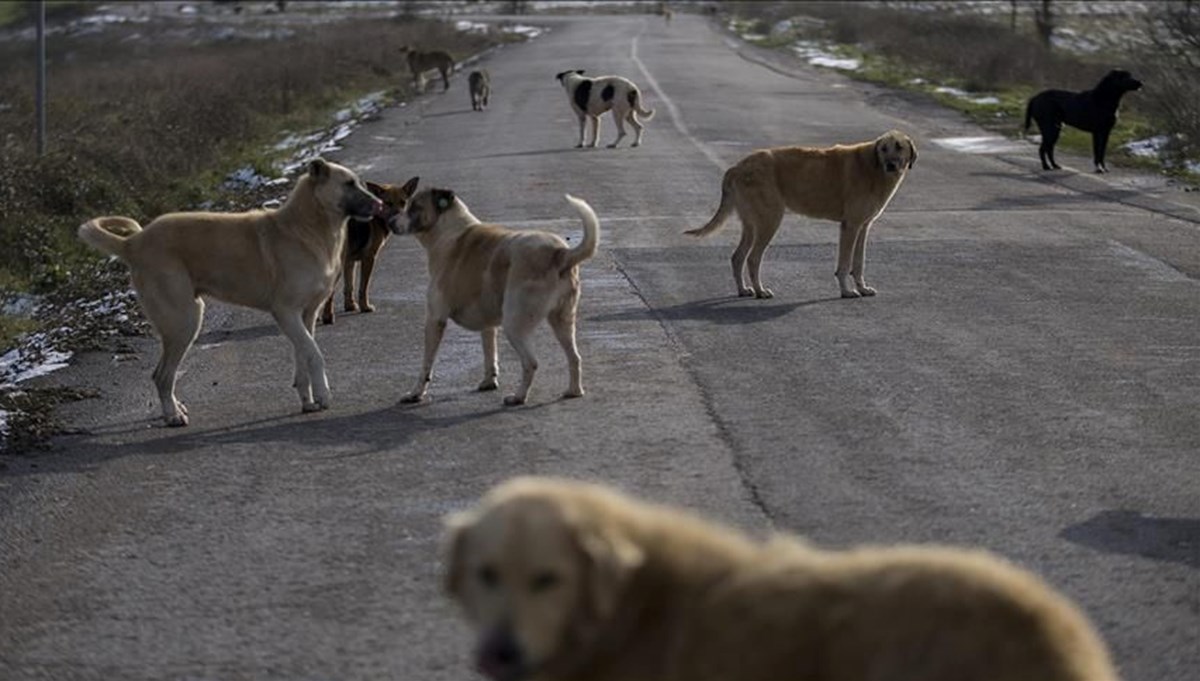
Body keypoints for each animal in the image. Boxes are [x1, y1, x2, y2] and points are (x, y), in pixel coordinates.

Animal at [78, 159, 379, 426]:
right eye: (349, 183)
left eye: (359, 182)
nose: (379, 205)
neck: (307, 226)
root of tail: (132, 243)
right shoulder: (286, 312)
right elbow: (315, 354)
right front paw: (324, 395)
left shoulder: (306, 315)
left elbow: (303, 356)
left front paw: (308, 400)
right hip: (184, 321)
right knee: (162, 375)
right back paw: (173, 416)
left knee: (163, 374)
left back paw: (175, 408)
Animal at [321, 175, 420, 323]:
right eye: (388, 203)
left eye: (403, 202)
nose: (398, 219)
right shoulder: (369, 258)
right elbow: (363, 287)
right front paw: (365, 307)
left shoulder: (350, 262)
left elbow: (349, 286)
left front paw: (350, 306)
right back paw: (327, 317)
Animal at [393, 185, 600, 405]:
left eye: (414, 207)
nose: (390, 222)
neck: (448, 230)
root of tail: (560, 253)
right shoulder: (487, 322)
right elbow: (489, 352)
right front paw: (489, 381)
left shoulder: (435, 319)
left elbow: (426, 364)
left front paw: (416, 393)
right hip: (562, 320)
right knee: (574, 357)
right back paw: (574, 391)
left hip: (514, 324)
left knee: (531, 362)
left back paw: (519, 397)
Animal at [686, 129, 916, 297]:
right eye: (883, 149)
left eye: (899, 147)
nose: (890, 165)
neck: (873, 167)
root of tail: (737, 167)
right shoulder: (850, 226)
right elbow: (844, 264)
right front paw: (847, 291)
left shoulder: (863, 227)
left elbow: (858, 263)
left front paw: (862, 288)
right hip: (769, 220)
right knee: (752, 258)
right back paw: (760, 291)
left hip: (752, 224)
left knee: (737, 257)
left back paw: (743, 290)